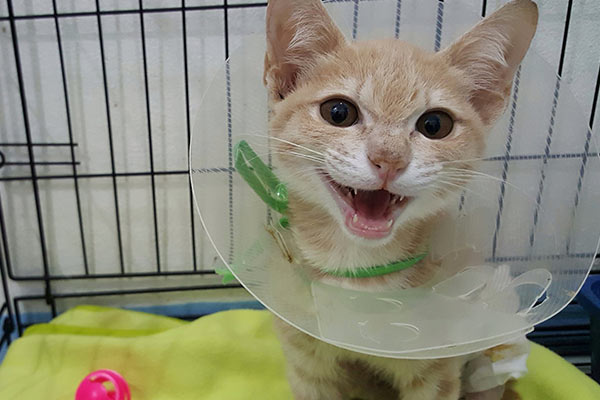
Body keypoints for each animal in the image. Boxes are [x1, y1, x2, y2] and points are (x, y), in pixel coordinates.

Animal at [262, 0, 540, 400]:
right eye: (338, 112)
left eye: (435, 125)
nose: (389, 159)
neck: (358, 273)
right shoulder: (306, 363)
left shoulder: (436, 371)